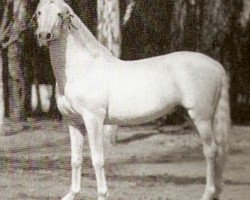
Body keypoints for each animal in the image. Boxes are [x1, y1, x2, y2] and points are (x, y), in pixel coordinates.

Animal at [35, 0, 230, 199]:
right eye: (39, 13)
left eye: (60, 14)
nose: (43, 35)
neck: (83, 69)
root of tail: (216, 66)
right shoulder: (74, 122)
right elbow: (75, 160)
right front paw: (71, 194)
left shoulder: (93, 119)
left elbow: (97, 159)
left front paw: (102, 195)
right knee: (220, 150)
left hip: (201, 117)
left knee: (211, 151)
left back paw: (208, 193)